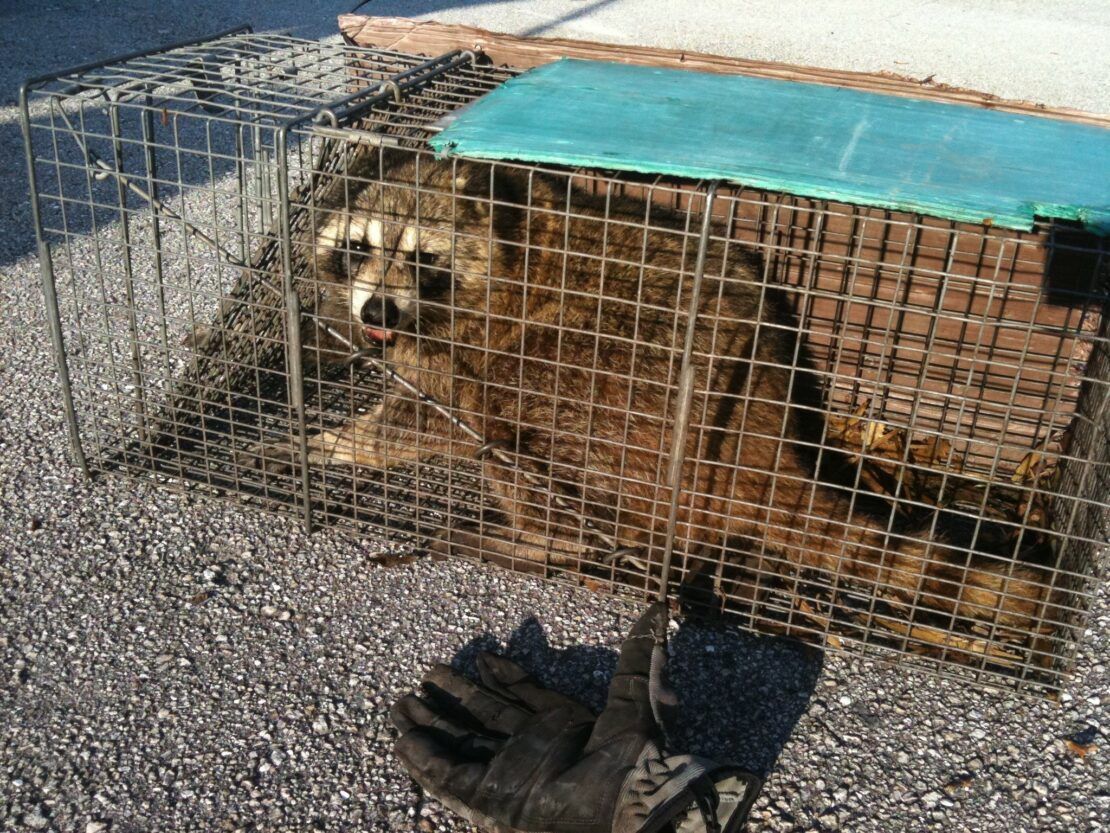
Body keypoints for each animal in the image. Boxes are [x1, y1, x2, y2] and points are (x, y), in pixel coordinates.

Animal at [245, 147, 1054, 633]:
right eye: (358, 247)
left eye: (425, 258)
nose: (377, 312)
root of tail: (768, 448)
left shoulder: (472, 345)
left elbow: (429, 417)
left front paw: (335, 441)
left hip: (626, 411)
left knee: (524, 428)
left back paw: (541, 537)